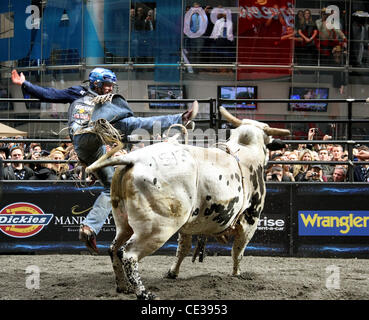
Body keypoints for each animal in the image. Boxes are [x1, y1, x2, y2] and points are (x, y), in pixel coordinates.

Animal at [85, 107, 288, 300]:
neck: (245, 152)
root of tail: (134, 159)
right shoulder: (250, 221)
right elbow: (238, 250)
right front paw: (237, 274)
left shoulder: (188, 225)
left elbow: (183, 249)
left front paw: (172, 273)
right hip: (157, 227)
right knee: (129, 254)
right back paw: (144, 293)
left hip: (123, 221)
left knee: (113, 249)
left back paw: (123, 286)